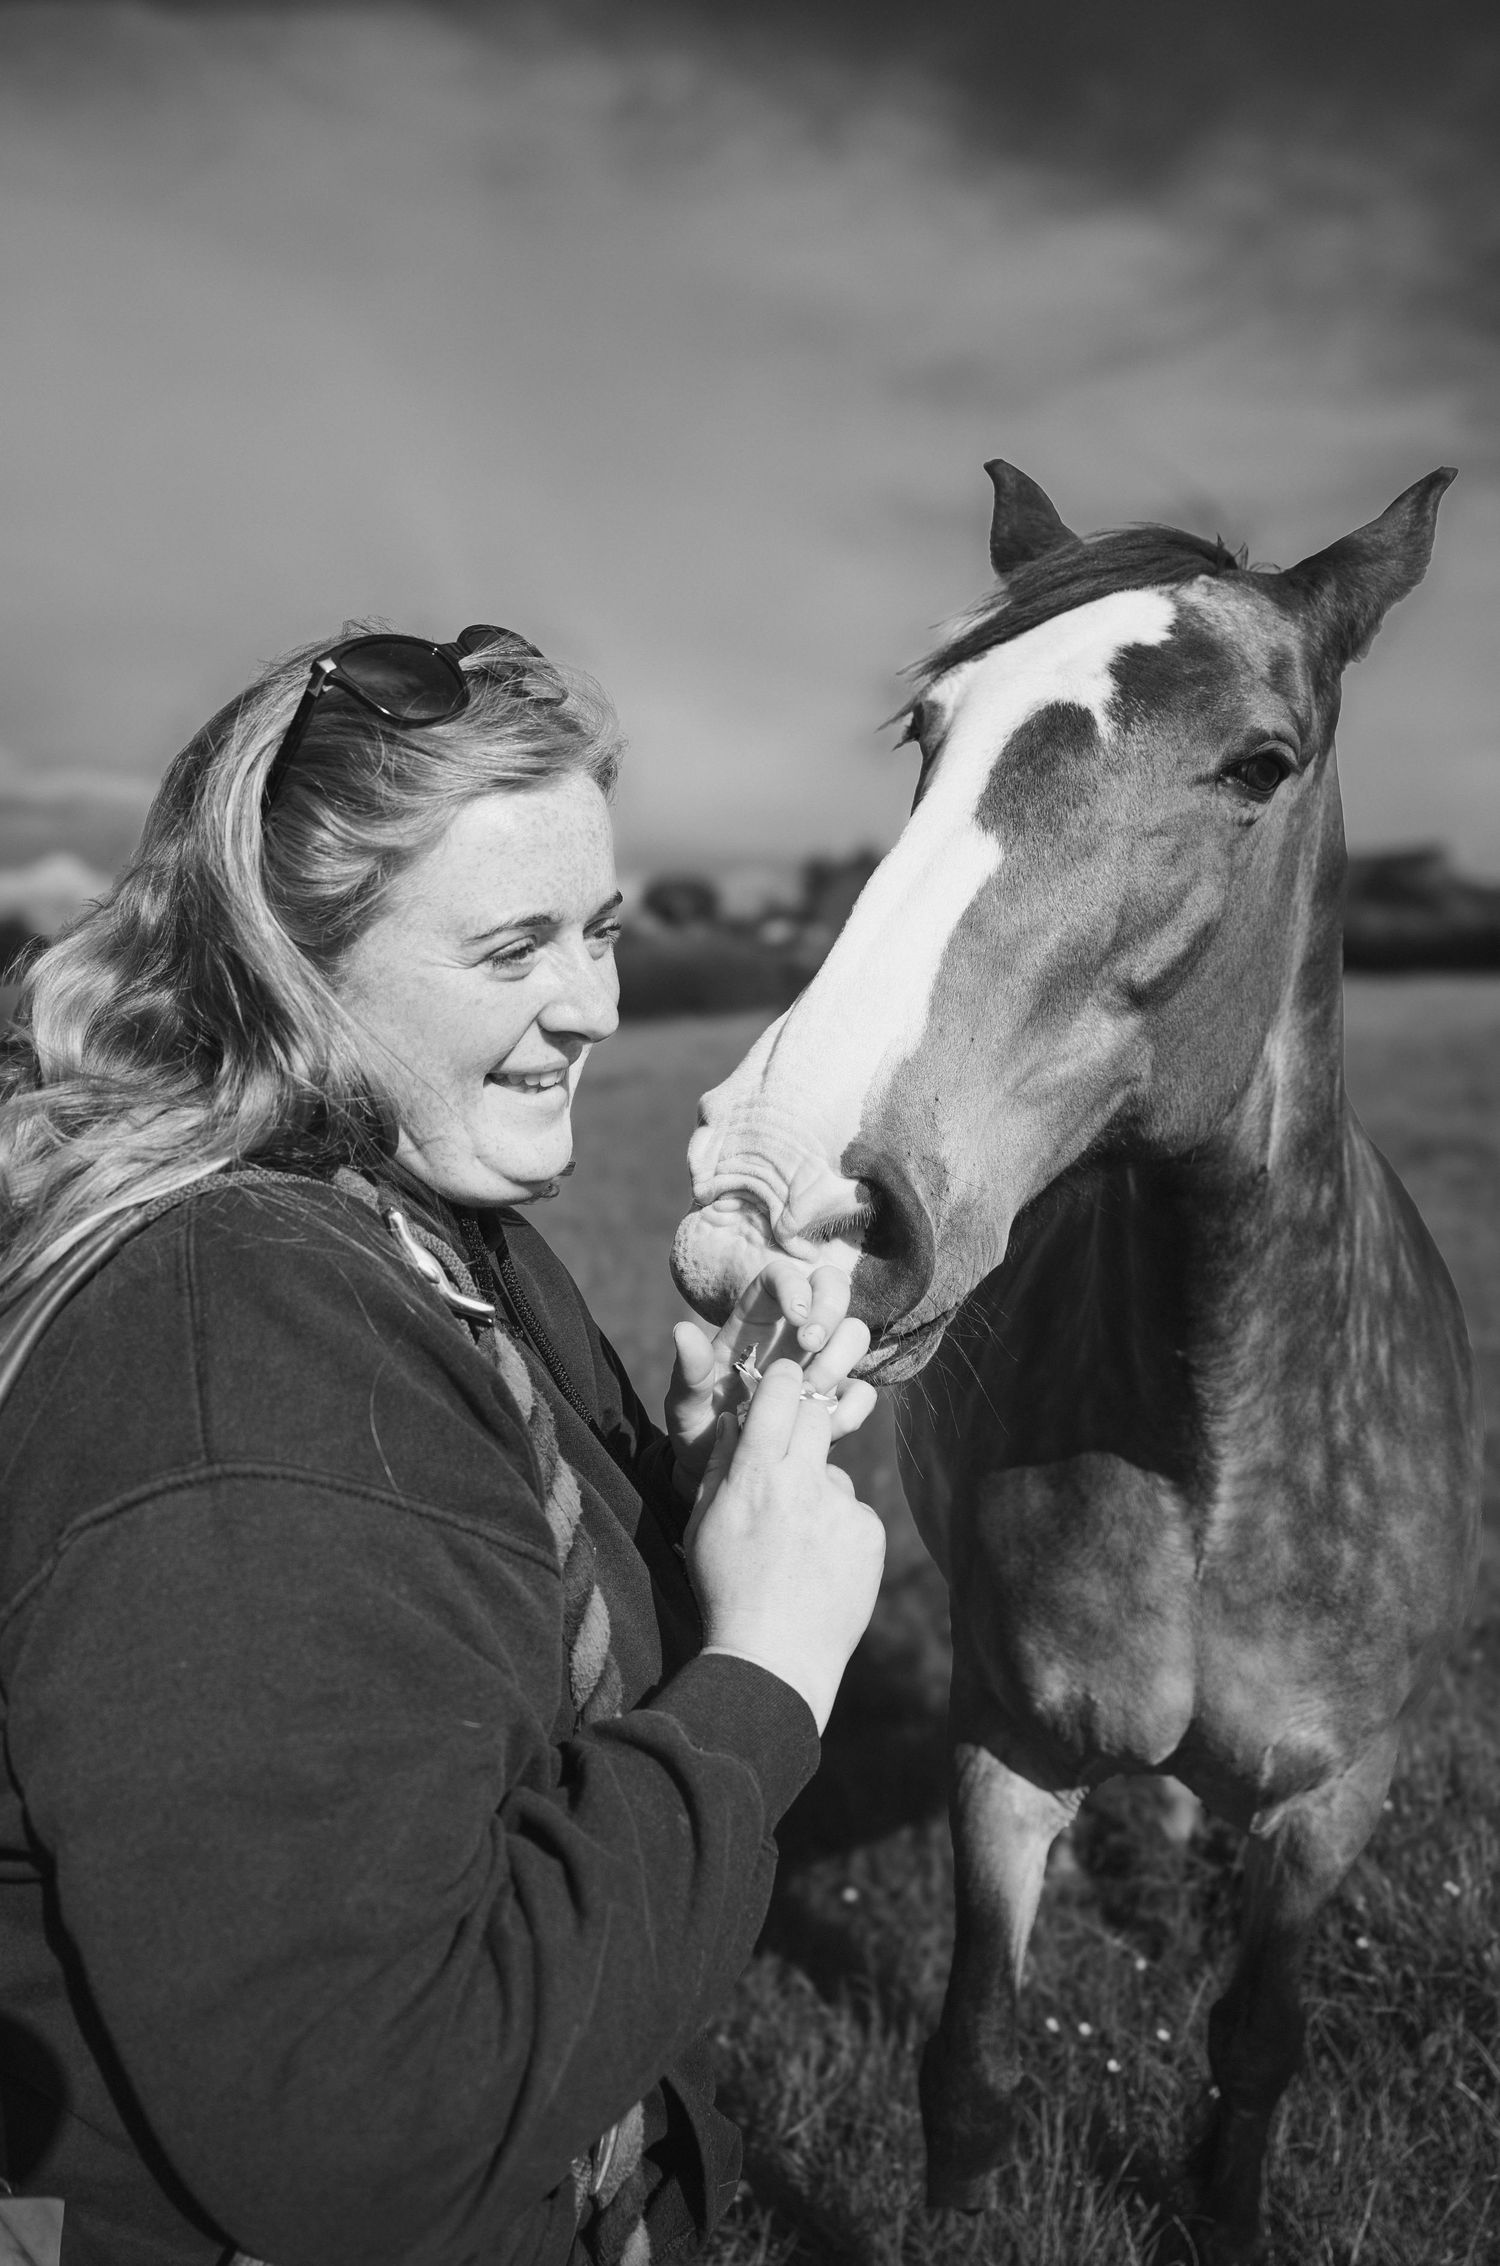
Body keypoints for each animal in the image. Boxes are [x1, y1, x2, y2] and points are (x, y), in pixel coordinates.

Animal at [670, 462, 1482, 2262]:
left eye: (1260, 761)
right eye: (926, 731)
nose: (786, 1192)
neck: (1218, 1444)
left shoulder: (1339, 1800)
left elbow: (1255, 2056)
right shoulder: (1006, 1756)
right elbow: (971, 2064)